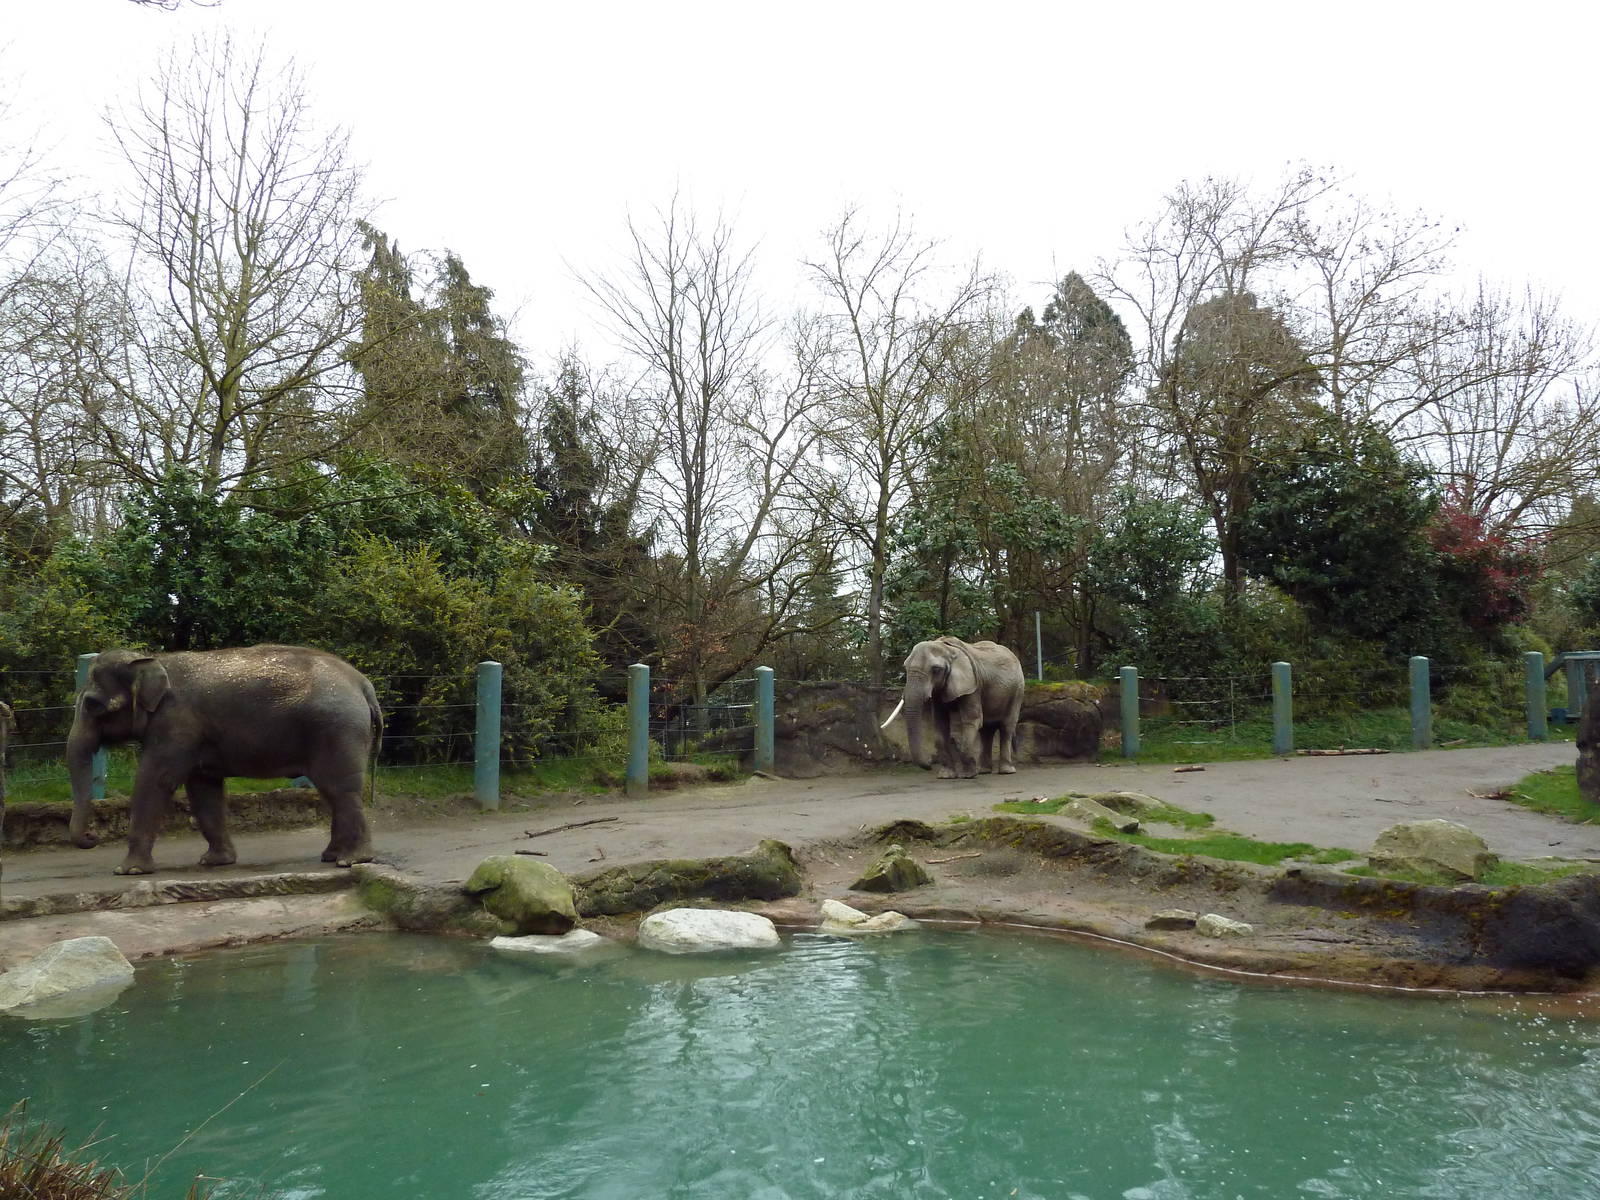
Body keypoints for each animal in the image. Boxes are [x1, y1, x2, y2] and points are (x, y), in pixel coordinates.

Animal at [67, 644, 382, 876]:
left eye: (92, 704)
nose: (92, 837)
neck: (154, 660)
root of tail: (363, 683)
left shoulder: (176, 724)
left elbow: (155, 780)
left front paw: (128, 871)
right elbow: (203, 789)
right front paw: (215, 862)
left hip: (338, 729)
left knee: (339, 788)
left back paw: (352, 861)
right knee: (332, 791)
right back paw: (332, 856)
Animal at [882, 636, 1025, 778]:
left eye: (936, 670)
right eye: (905, 667)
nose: (929, 765)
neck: (947, 649)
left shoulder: (972, 686)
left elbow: (971, 720)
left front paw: (968, 775)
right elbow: (940, 724)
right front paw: (946, 775)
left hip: (1018, 689)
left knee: (1006, 726)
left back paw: (1006, 771)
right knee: (987, 729)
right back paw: (984, 771)